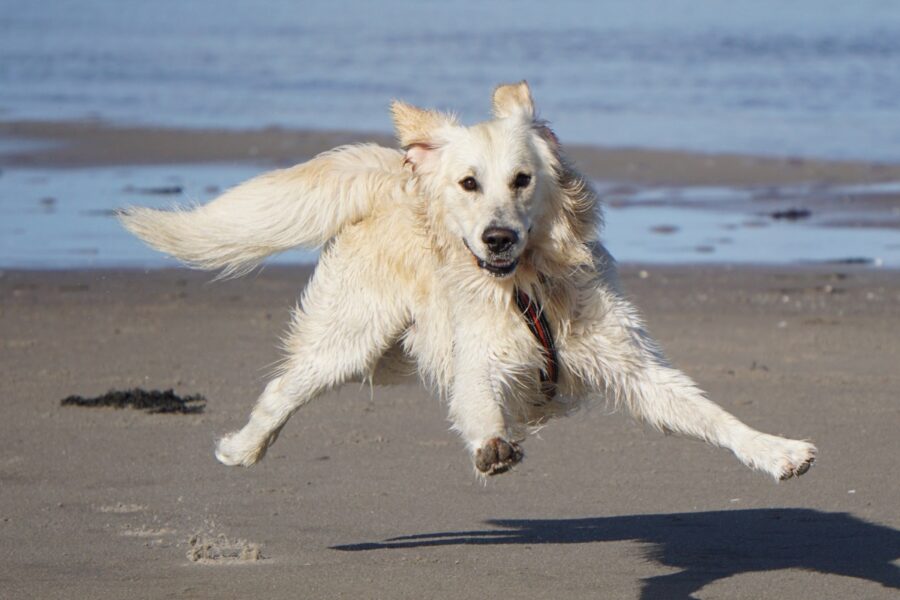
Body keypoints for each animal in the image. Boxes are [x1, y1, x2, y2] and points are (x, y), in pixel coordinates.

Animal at [118, 82, 816, 480]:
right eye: (469, 183)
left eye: (522, 180)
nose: (498, 237)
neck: (528, 287)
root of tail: (397, 174)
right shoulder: (478, 358)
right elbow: (480, 404)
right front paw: (491, 447)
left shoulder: (633, 365)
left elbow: (712, 414)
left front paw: (776, 451)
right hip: (349, 339)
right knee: (282, 389)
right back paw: (242, 449)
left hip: (389, 353)